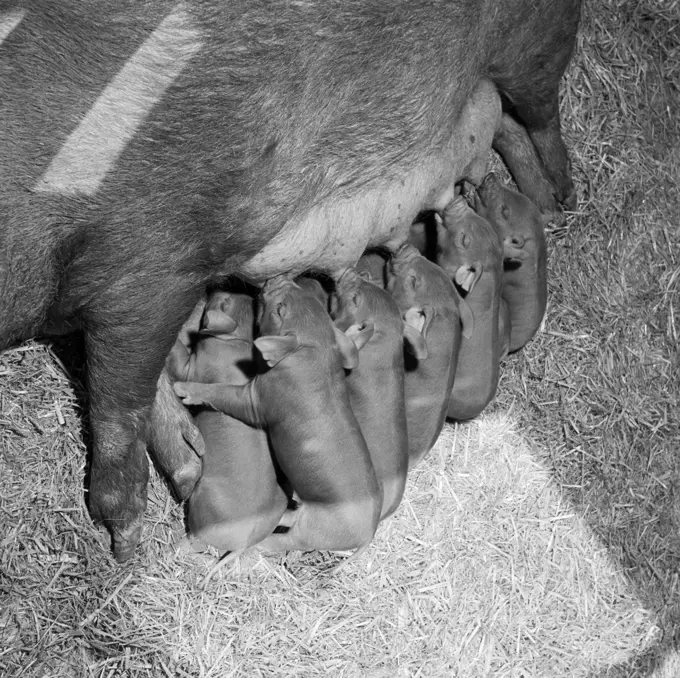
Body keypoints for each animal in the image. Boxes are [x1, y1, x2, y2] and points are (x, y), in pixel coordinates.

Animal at [1, 1, 580, 564]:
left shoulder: (151, 262)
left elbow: (118, 405)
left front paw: (124, 543)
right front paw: (190, 465)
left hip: (535, 44)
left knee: (539, 116)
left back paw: (562, 198)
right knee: (504, 126)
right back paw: (534, 202)